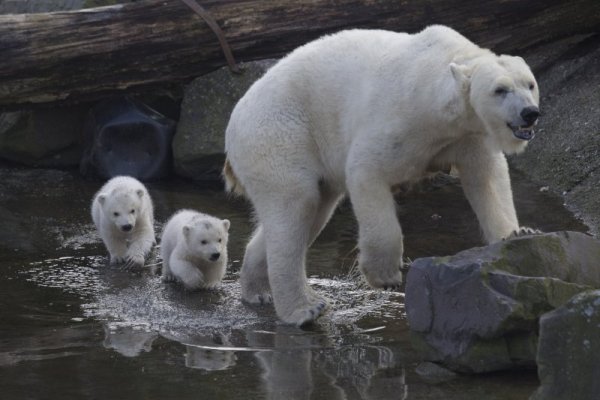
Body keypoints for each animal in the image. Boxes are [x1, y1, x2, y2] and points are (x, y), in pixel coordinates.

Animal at [223, 24, 540, 324]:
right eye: (500, 89)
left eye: (530, 84)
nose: (530, 113)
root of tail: (234, 122)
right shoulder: (404, 118)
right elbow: (366, 169)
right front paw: (384, 275)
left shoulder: (467, 134)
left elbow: (486, 176)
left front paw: (519, 232)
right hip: (280, 135)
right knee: (296, 204)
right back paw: (305, 309)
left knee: (313, 211)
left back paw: (257, 290)